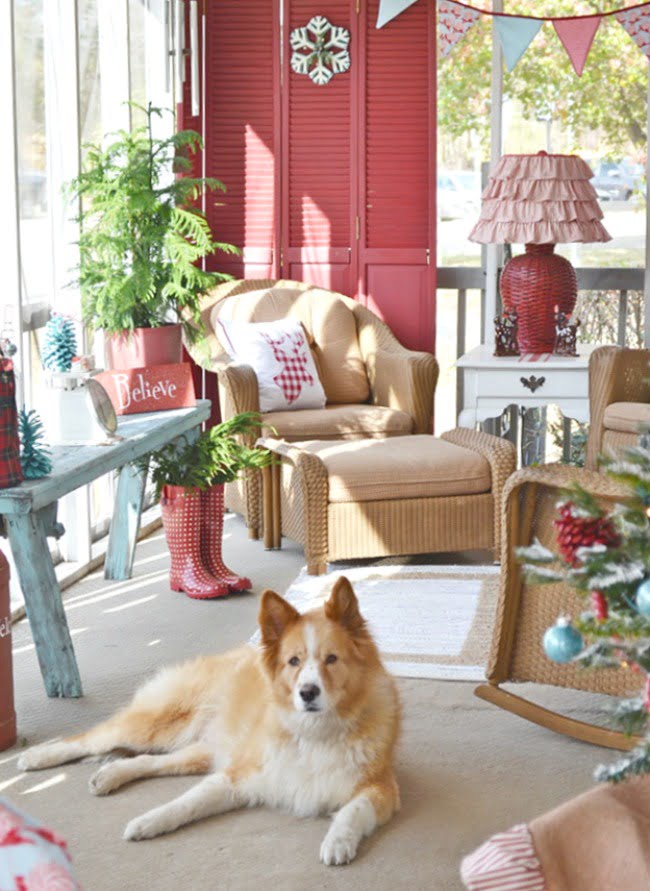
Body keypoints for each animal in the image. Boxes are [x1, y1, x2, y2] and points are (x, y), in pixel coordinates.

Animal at [16, 580, 400, 864]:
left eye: (331, 659)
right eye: (294, 661)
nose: (307, 693)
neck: (314, 734)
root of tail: (224, 655)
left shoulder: (383, 788)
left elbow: (354, 810)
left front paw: (338, 841)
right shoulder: (238, 775)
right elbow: (187, 803)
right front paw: (150, 820)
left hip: (198, 752)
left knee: (149, 761)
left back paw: (111, 774)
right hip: (156, 724)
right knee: (89, 738)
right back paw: (35, 757)